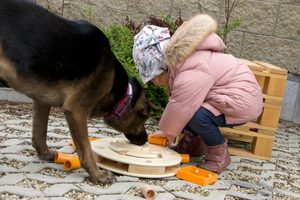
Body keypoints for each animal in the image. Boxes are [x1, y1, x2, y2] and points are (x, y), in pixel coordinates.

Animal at [0, 0, 150, 184]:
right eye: (144, 117)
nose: (146, 139)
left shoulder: (42, 102)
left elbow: (39, 133)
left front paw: (44, 154)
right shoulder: (76, 110)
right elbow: (85, 150)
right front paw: (97, 175)